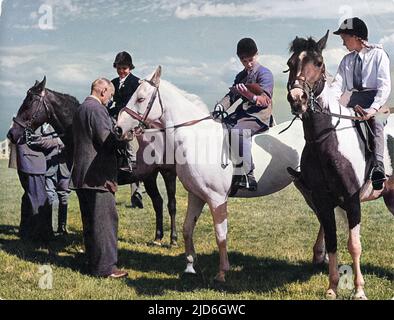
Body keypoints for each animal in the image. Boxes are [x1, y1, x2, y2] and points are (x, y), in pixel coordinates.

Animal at [6, 77, 178, 245]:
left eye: (29, 103)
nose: (12, 134)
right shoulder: (81, 186)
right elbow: (86, 212)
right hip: (149, 176)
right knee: (158, 202)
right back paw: (158, 237)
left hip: (168, 173)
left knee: (171, 204)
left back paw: (173, 239)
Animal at [115, 67, 306, 282]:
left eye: (140, 98)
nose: (118, 129)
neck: (197, 139)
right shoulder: (196, 195)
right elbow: (187, 229)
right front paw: (190, 267)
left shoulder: (216, 199)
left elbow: (220, 235)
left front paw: (222, 272)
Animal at [286, 31, 394, 298]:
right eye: (290, 63)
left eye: (319, 63)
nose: (297, 99)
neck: (325, 142)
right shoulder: (324, 202)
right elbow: (333, 241)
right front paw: (332, 287)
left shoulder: (352, 201)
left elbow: (354, 245)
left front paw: (359, 290)